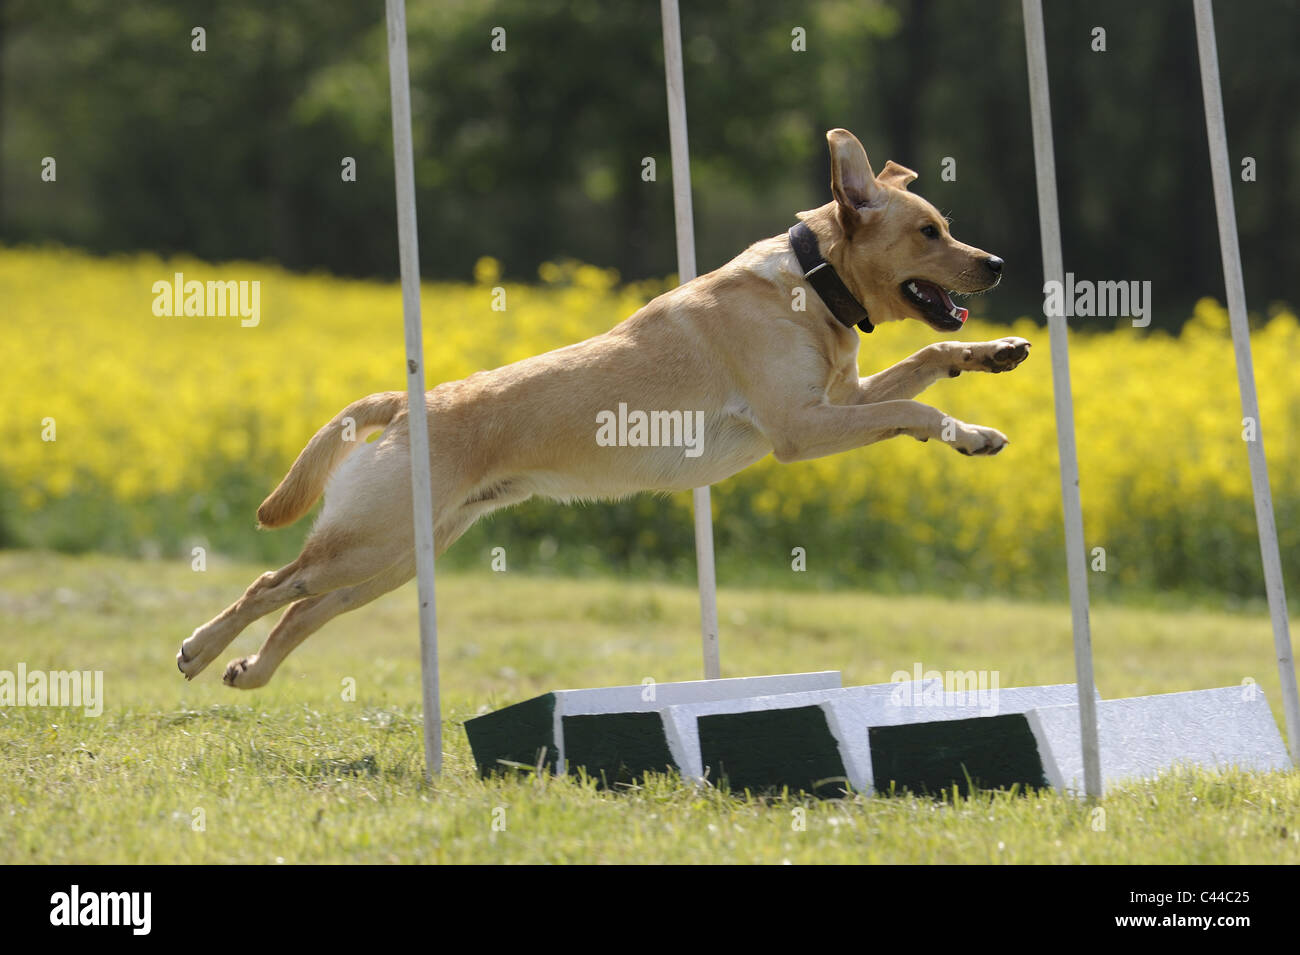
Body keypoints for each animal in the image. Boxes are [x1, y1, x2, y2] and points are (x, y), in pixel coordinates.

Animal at [175, 130, 1024, 691]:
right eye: (929, 230)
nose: (998, 262)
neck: (814, 283)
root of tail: (408, 404)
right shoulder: (801, 428)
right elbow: (915, 411)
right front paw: (972, 434)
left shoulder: (842, 398)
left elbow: (926, 360)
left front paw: (996, 353)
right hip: (370, 540)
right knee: (270, 584)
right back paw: (199, 649)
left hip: (400, 557)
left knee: (302, 610)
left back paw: (249, 671)